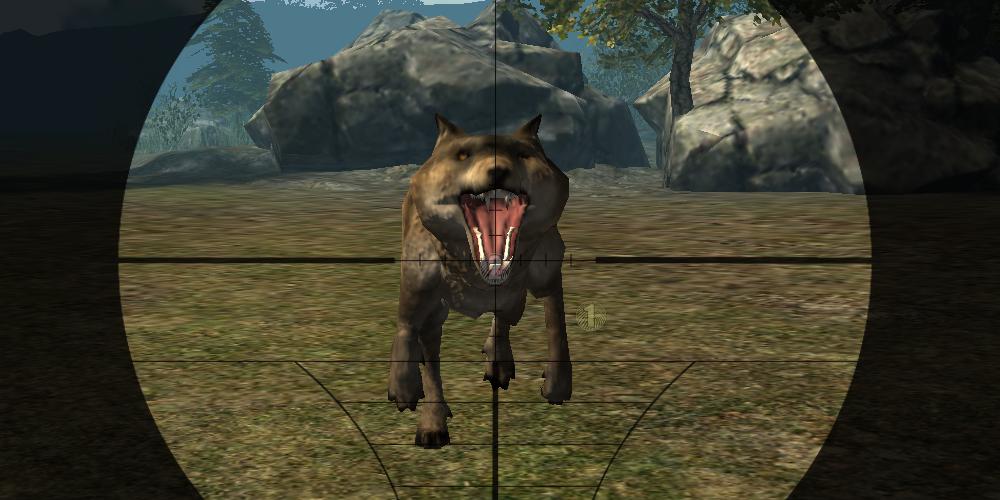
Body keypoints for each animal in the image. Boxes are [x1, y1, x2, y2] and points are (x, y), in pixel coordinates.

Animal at [388, 114, 572, 448]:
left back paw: (498, 361)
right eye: (463, 155)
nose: (497, 169)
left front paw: (557, 385)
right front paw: (422, 411)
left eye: (522, 155)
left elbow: (557, 326)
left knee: (503, 318)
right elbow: (411, 335)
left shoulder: (547, 275)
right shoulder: (421, 292)